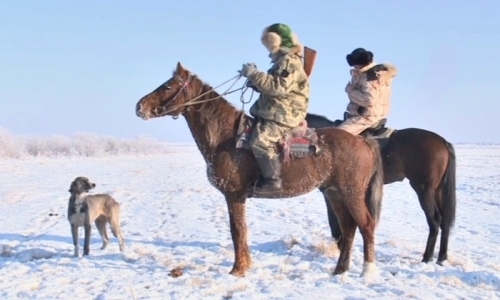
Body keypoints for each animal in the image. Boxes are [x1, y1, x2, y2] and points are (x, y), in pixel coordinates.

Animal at [135, 62, 384, 278]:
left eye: (168, 86)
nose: (139, 106)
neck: (226, 137)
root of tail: (363, 140)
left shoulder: (234, 195)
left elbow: (237, 230)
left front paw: (237, 269)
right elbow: (241, 230)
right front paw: (244, 265)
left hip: (351, 192)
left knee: (366, 225)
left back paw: (367, 272)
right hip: (334, 193)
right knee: (348, 227)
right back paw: (339, 270)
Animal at [304, 112, 458, 264]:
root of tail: (443, 142)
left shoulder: (331, 193)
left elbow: (335, 222)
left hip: (424, 190)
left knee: (435, 220)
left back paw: (427, 257)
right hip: (437, 190)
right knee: (445, 221)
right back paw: (441, 257)